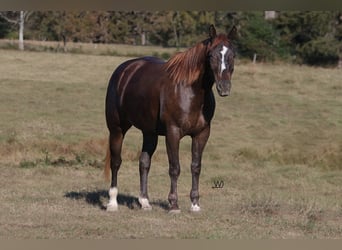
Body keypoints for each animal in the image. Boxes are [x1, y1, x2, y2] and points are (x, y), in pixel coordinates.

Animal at [104, 23, 236, 213]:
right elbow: (175, 168)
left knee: (144, 163)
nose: (224, 87)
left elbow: (196, 167)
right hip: (117, 129)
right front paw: (174, 204)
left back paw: (145, 202)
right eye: (211, 55)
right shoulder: (173, 133)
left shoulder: (202, 134)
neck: (190, 91)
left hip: (149, 132)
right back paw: (112, 202)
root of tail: (124, 70)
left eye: (233, 55)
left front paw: (195, 204)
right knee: (115, 162)